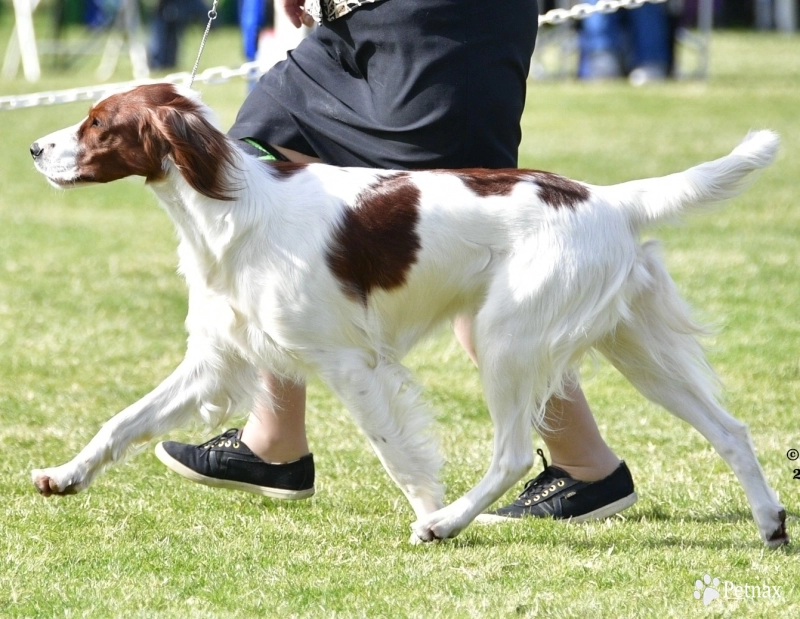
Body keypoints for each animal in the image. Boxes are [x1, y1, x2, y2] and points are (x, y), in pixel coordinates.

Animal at [29, 83, 788, 548]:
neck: (232, 204)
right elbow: (120, 422)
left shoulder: (349, 361)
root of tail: (607, 199)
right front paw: (65, 475)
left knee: (514, 451)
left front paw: (427, 512)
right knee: (730, 429)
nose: (34, 148)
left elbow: (396, 453)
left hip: (506, 337)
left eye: (98, 123)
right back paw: (772, 522)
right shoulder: (219, 357)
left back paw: (448, 523)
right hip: (632, 347)